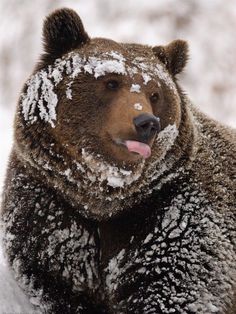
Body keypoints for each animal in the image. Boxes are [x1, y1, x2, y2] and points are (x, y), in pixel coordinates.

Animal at [0, 7, 236, 314]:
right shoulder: (49, 206)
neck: (103, 199)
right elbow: (56, 281)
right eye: (111, 82)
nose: (146, 123)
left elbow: (175, 288)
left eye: (155, 94)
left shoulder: (169, 213)